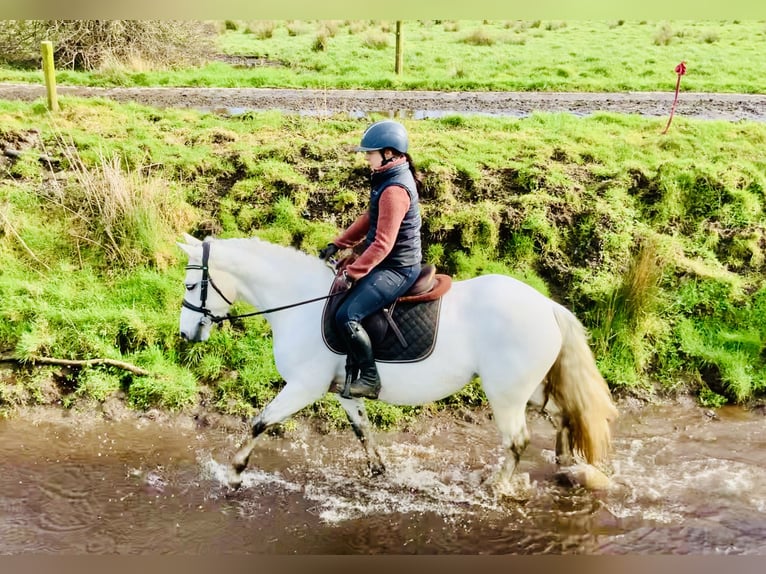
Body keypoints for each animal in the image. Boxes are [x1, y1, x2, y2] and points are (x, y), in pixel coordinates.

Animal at [176, 234, 616, 490]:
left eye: (192, 284)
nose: (185, 335)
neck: (300, 303)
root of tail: (547, 305)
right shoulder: (344, 392)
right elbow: (363, 432)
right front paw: (378, 473)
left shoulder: (303, 387)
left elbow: (260, 422)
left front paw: (234, 473)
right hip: (531, 387)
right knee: (563, 416)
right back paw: (565, 468)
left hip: (505, 394)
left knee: (518, 440)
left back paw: (496, 486)